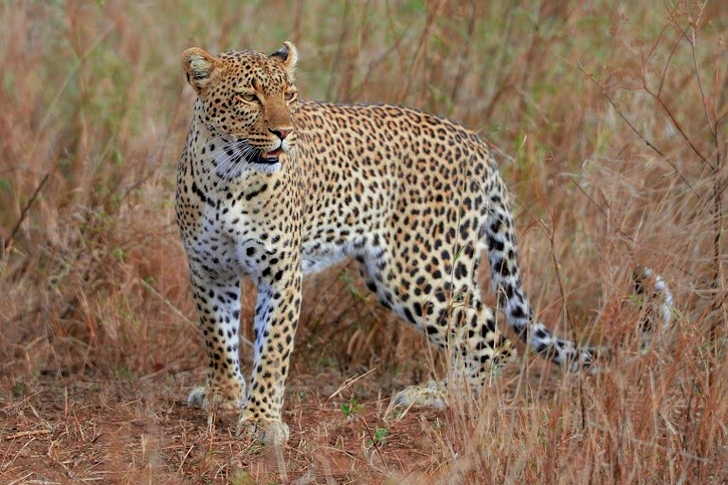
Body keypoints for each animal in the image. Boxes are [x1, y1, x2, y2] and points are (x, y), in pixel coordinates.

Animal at [175, 42, 666, 445]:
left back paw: (445, 397)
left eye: (289, 96)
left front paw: (262, 421)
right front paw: (224, 395)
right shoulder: (206, 267)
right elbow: (217, 335)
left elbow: (273, 347)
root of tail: (479, 144)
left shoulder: (281, 270)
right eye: (249, 97)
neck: (229, 176)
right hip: (396, 272)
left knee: (491, 336)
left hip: (419, 268)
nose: (284, 132)